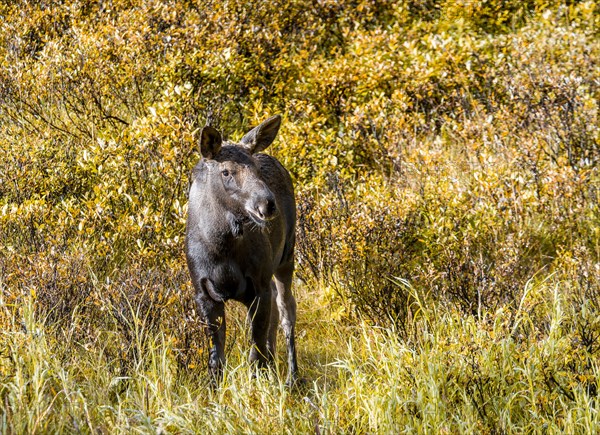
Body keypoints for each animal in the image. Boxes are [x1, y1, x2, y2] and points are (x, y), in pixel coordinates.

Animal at [184, 114, 298, 386]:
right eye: (226, 171)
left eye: (256, 168)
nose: (267, 203)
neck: (221, 247)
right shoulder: (203, 293)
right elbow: (217, 359)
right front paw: (214, 391)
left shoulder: (258, 285)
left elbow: (255, 354)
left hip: (286, 256)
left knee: (287, 310)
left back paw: (293, 376)